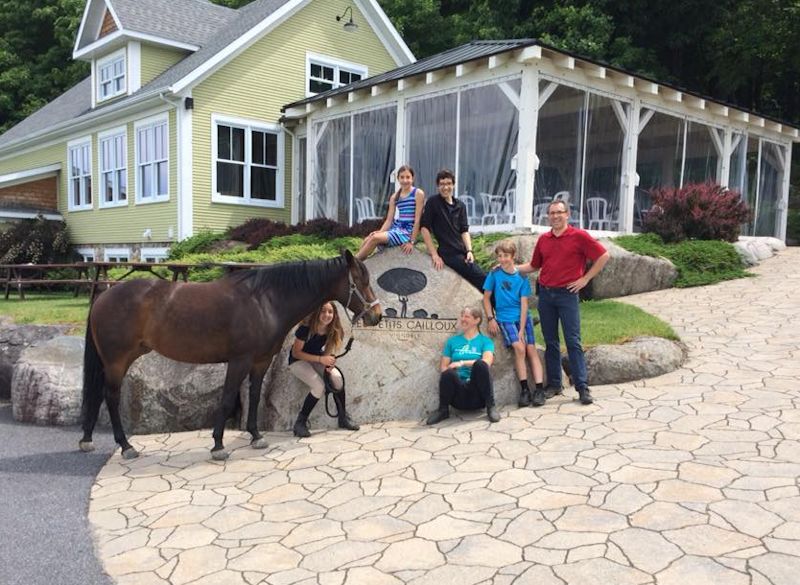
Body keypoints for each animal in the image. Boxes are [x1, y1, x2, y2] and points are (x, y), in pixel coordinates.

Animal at [80, 249, 382, 458]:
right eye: (360, 281)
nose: (377, 315)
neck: (265, 300)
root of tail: (103, 297)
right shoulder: (239, 361)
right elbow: (226, 400)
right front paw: (218, 445)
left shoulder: (260, 361)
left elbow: (255, 396)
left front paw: (256, 436)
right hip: (117, 361)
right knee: (110, 397)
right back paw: (125, 446)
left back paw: (88, 439)